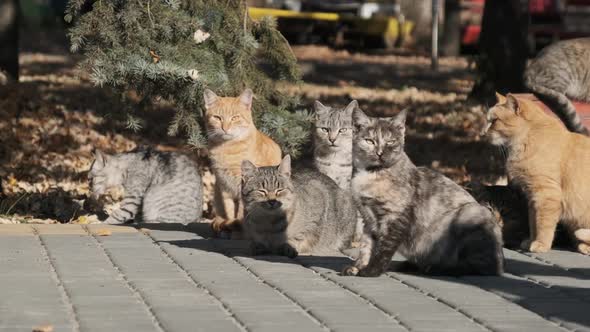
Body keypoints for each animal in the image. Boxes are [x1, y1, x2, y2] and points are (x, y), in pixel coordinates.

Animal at [205, 88, 284, 233]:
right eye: (217, 118)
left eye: (235, 118)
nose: (225, 128)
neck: (226, 148)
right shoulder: (223, 185)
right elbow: (229, 209)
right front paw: (230, 222)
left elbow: (242, 210)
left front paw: (240, 224)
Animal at [344, 109, 506, 278]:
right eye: (369, 141)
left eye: (390, 142)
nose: (380, 153)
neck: (371, 174)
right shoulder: (368, 219)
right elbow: (366, 245)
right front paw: (358, 267)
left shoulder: (394, 218)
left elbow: (383, 249)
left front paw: (371, 271)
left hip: (471, 214)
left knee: (482, 267)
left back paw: (437, 268)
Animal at [486, 91, 590, 254]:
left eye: (494, 121)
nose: (483, 133)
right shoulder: (532, 197)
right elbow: (533, 223)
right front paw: (530, 241)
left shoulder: (546, 194)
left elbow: (543, 225)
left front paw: (541, 244)